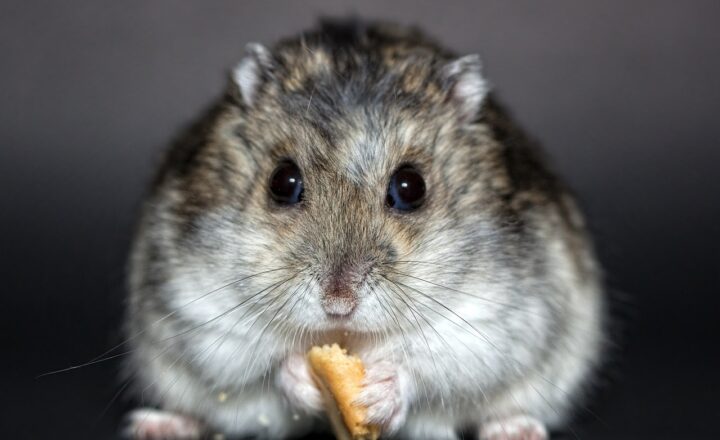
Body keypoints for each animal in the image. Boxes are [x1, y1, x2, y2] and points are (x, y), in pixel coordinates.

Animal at [123, 20, 604, 440]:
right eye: (282, 182)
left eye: (411, 187)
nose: (338, 304)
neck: (346, 337)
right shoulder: (200, 311)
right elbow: (263, 363)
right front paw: (303, 376)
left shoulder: (493, 320)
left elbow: (429, 366)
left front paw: (377, 395)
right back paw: (157, 425)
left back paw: (515, 429)